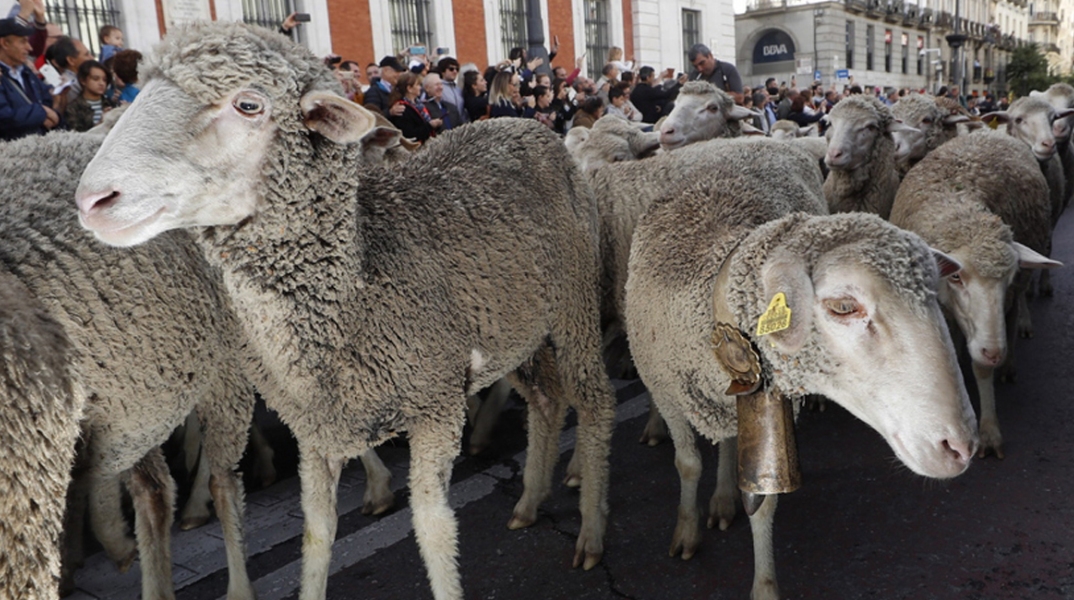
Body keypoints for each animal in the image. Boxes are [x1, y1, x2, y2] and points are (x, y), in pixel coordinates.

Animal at [74, 22, 618, 600]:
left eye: (249, 104)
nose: (92, 200)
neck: (356, 290)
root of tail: (523, 126)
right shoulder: (316, 430)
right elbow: (317, 534)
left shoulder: (436, 407)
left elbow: (433, 527)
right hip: (513, 330)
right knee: (546, 399)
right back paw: (530, 501)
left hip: (575, 301)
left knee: (593, 398)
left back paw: (591, 531)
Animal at [624, 141, 978, 599]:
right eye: (843, 306)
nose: (961, 448)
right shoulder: (668, 394)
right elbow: (687, 464)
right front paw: (686, 532)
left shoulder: (768, 403)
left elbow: (764, 498)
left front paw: (764, 584)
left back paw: (723, 498)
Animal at [890, 130, 1061, 458]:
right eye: (956, 276)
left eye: (1008, 277)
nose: (994, 352)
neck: (959, 211)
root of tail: (987, 130)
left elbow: (981, 369)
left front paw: (989, 432)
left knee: (1012, 316)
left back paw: (1009, 362)